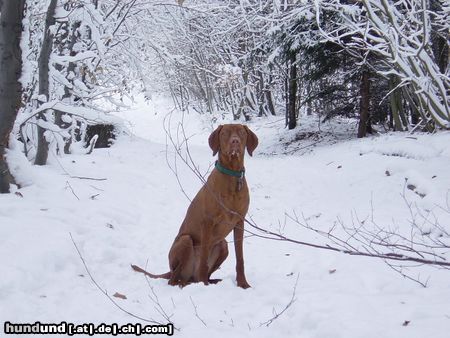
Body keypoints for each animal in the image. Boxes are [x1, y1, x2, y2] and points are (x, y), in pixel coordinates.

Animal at [132, 124, 256, 288]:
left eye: (241, 132)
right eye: (225, 133)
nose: (235, 141)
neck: (232, 176)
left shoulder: (239, 222)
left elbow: (240, 258)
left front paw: (243, 284)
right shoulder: (208, 222)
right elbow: (203, 258)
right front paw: (204, 286)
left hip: (223, 244)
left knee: (192, 277)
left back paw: (211, 281)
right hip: (185, 240)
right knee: (174, 280)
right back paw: (191, 283)